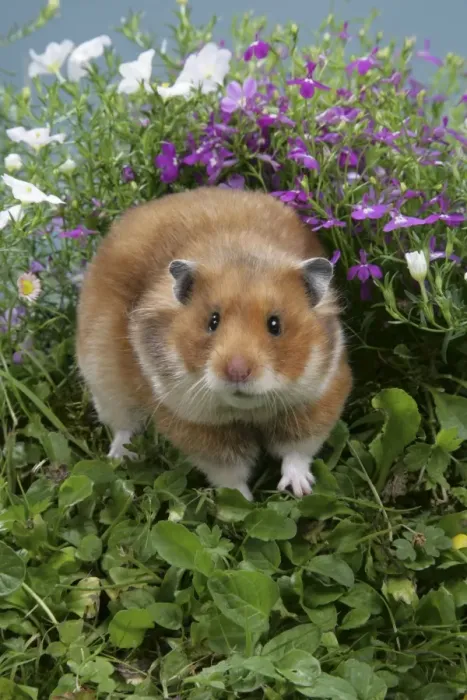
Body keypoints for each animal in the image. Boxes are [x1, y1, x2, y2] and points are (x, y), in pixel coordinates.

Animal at [76, 187, 352, 500]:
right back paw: (119, 458)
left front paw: (299, 490)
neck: (247, 410)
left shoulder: (318, 398)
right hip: (104, 380)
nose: (237, 371)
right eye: (213, 321)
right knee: (123, 426)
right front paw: (243, 502)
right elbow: (228, 473)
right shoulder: (194, 425)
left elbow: (297, 451)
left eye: (275, 325)